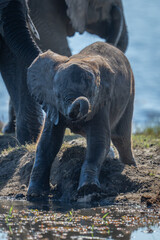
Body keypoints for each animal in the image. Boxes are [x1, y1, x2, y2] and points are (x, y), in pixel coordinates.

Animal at [26, 42, 136, 198]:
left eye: (92, 94)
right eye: (57, 95)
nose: (75, 116)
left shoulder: (102, 102)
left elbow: (98, 142)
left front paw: (88, 189)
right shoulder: (53, 104)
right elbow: (48, 142)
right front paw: (34, 194)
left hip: (130, 93)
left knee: (121, 138)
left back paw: (131, 166)